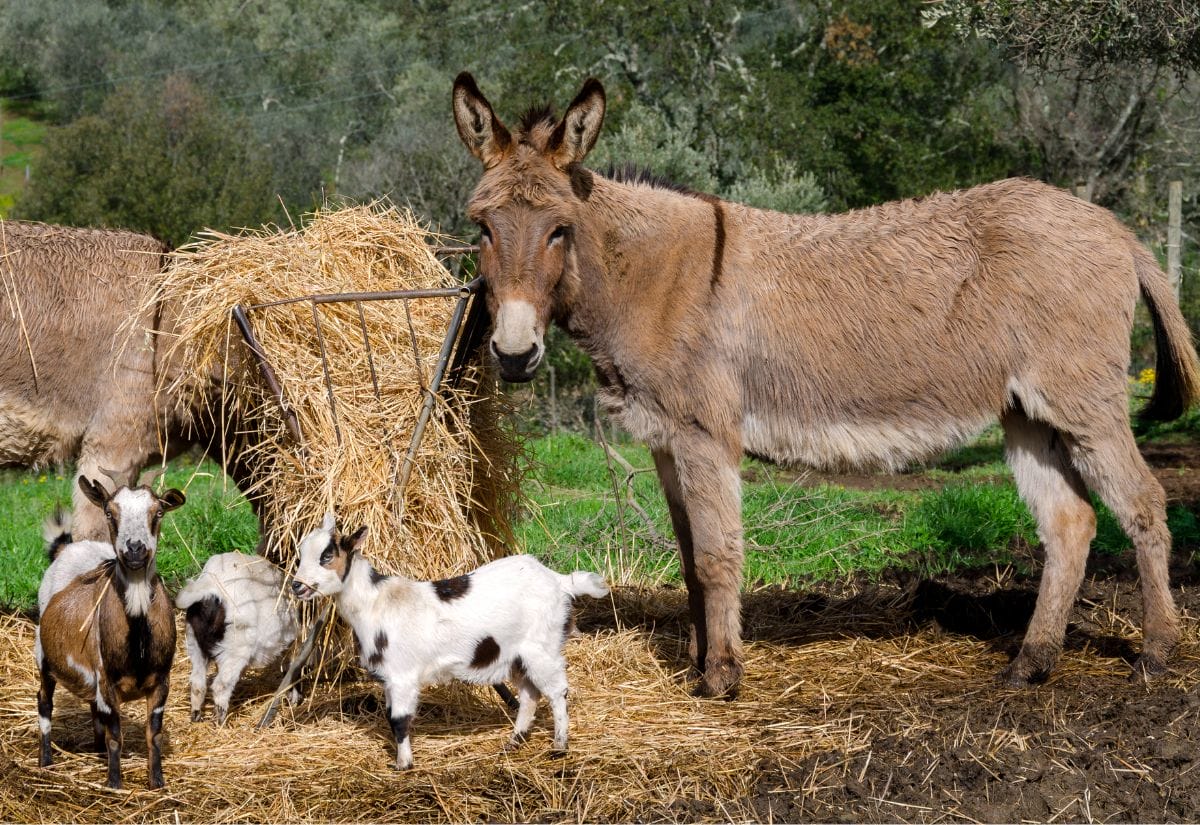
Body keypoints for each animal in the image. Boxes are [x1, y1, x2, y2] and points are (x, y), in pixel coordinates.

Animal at [35, 479, 183, 791]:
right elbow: (116, 735)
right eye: (109, 513)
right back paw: (46, 761)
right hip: (42, 655)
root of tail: (66, 548)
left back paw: (97, 750)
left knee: (94, 708)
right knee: (44, 701)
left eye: (158, 512)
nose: (135, 549)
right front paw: (115, 784)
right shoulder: (108, 681)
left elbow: (154, 734)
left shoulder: (161, 681)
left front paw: (157, 782)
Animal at [175, 553, 298, 719]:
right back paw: (220, 719)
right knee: (220, 685)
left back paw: (196, 715)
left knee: (197, 683)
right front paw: (294, 698)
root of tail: (209, 588)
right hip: (237, 646)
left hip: (195, 644)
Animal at [290, 513, 609, 772]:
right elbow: (390, 717)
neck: (376, 603)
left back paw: (559, 746)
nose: (296, 586)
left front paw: (404, 765)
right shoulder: (389, 679)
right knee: (530, 695)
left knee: (557, 692)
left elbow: (399, 720)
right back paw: (514, 742)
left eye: (327, 555)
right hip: (517, 655)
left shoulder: (402, 676)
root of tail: (559, 580)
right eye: (300, 555)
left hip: (541, 647)